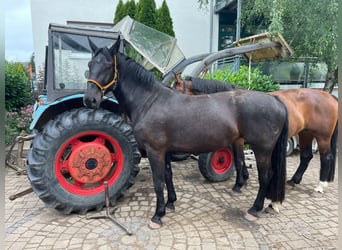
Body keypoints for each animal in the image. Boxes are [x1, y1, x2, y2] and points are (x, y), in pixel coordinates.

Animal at [83, 38, 288, 229]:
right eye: (90, 65)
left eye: (108, 65)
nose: (89, 100)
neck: (150, 101)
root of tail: (275, 100)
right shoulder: (164, 152)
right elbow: (168, 176)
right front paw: (170, 203)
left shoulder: (154, 151)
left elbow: (158, 182)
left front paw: (157, 215)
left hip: (262, 148)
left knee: (266, 176)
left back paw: (254, 209)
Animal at [172, 74, 338, 195]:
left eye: (175, 91)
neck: (230, 104)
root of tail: (330, 97)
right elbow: (240, 159)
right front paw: (243, 180)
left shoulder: (238, 139)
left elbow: (238, 160)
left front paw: (238, 184)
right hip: (306, 133)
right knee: (306, 156)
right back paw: (293, 180)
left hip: (322, 136)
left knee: (326, 157)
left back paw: (320, 186)